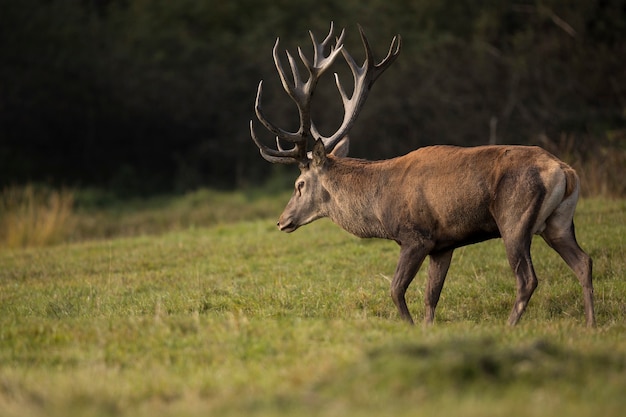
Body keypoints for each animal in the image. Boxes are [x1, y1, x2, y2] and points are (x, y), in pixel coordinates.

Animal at [249, 22, 596, 326]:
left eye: (299, 184)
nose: (282, 221)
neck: (377, 205)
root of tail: (564, 171)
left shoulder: (416, 235)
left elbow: (395, 290)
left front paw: (410, 327)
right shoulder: (444, 244)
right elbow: (432, 296)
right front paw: (428, 328)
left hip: (514, 219)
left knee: (527, 278)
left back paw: (510, 326)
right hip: (558, 223)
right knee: (584, 262)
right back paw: (591, 324)